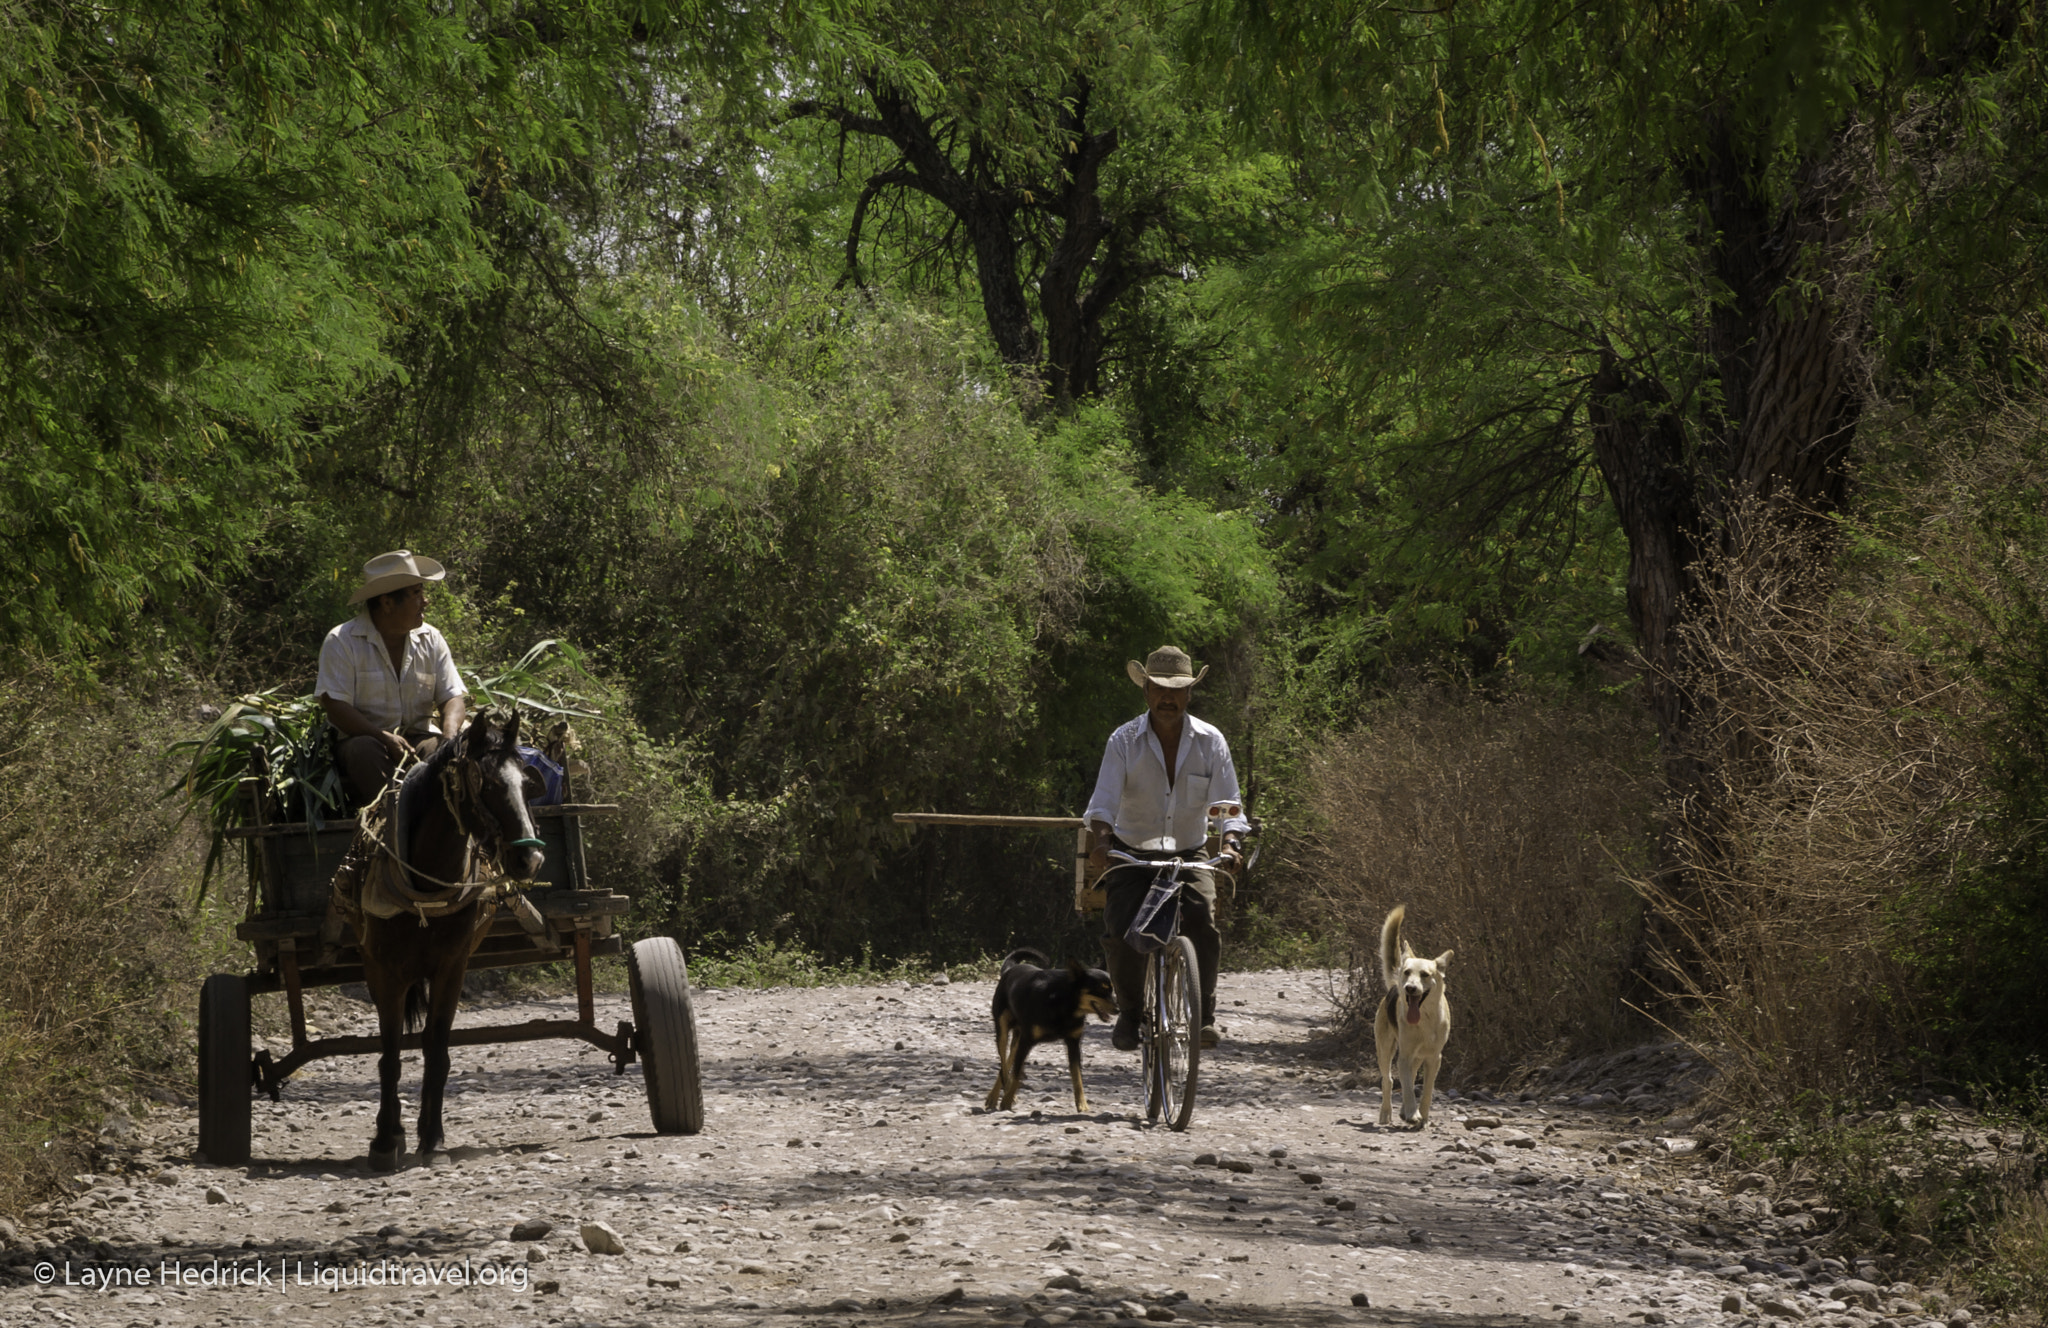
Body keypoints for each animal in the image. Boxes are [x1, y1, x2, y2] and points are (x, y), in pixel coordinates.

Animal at [356, 709, 544, 1164]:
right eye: (488, 785)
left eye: (528, 784)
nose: (531, 858)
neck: (427, 889)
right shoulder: (383, 973)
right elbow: (389, 1056)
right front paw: (386, 1139)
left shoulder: (452, 969)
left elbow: (436, 1050)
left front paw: (431, 1135)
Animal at [987, 942, 1122, 1106]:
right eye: (1100, 990)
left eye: (1112, 991)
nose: (1118, 1009)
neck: (1066, 1005)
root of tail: (1009, 970)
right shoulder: (1026, 1041)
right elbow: (1017, 1073)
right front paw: (1006, 1102)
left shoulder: (1073, 1042)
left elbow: (1077, 1076)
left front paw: (1082, 1105)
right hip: (1003, 1032)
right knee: (1004, 1064)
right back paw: (998, 1095)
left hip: (1017, 1038)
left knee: (1008, 1062)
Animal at [1376, 901, 1458, 1131]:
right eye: (1407, 972)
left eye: (1425, 975)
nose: (1410, 988)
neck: (1425, 1021)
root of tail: (1393, 987)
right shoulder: (1404, 1056)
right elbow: (1407, 1087)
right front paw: (1413, 1113)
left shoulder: (1434, 1058)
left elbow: (1427, 1090)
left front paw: (1422, 1116)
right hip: (1385, 1048)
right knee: (1389, 1081)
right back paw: (1387, 1113)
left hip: (1418, 1056)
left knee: (1410, 1076)